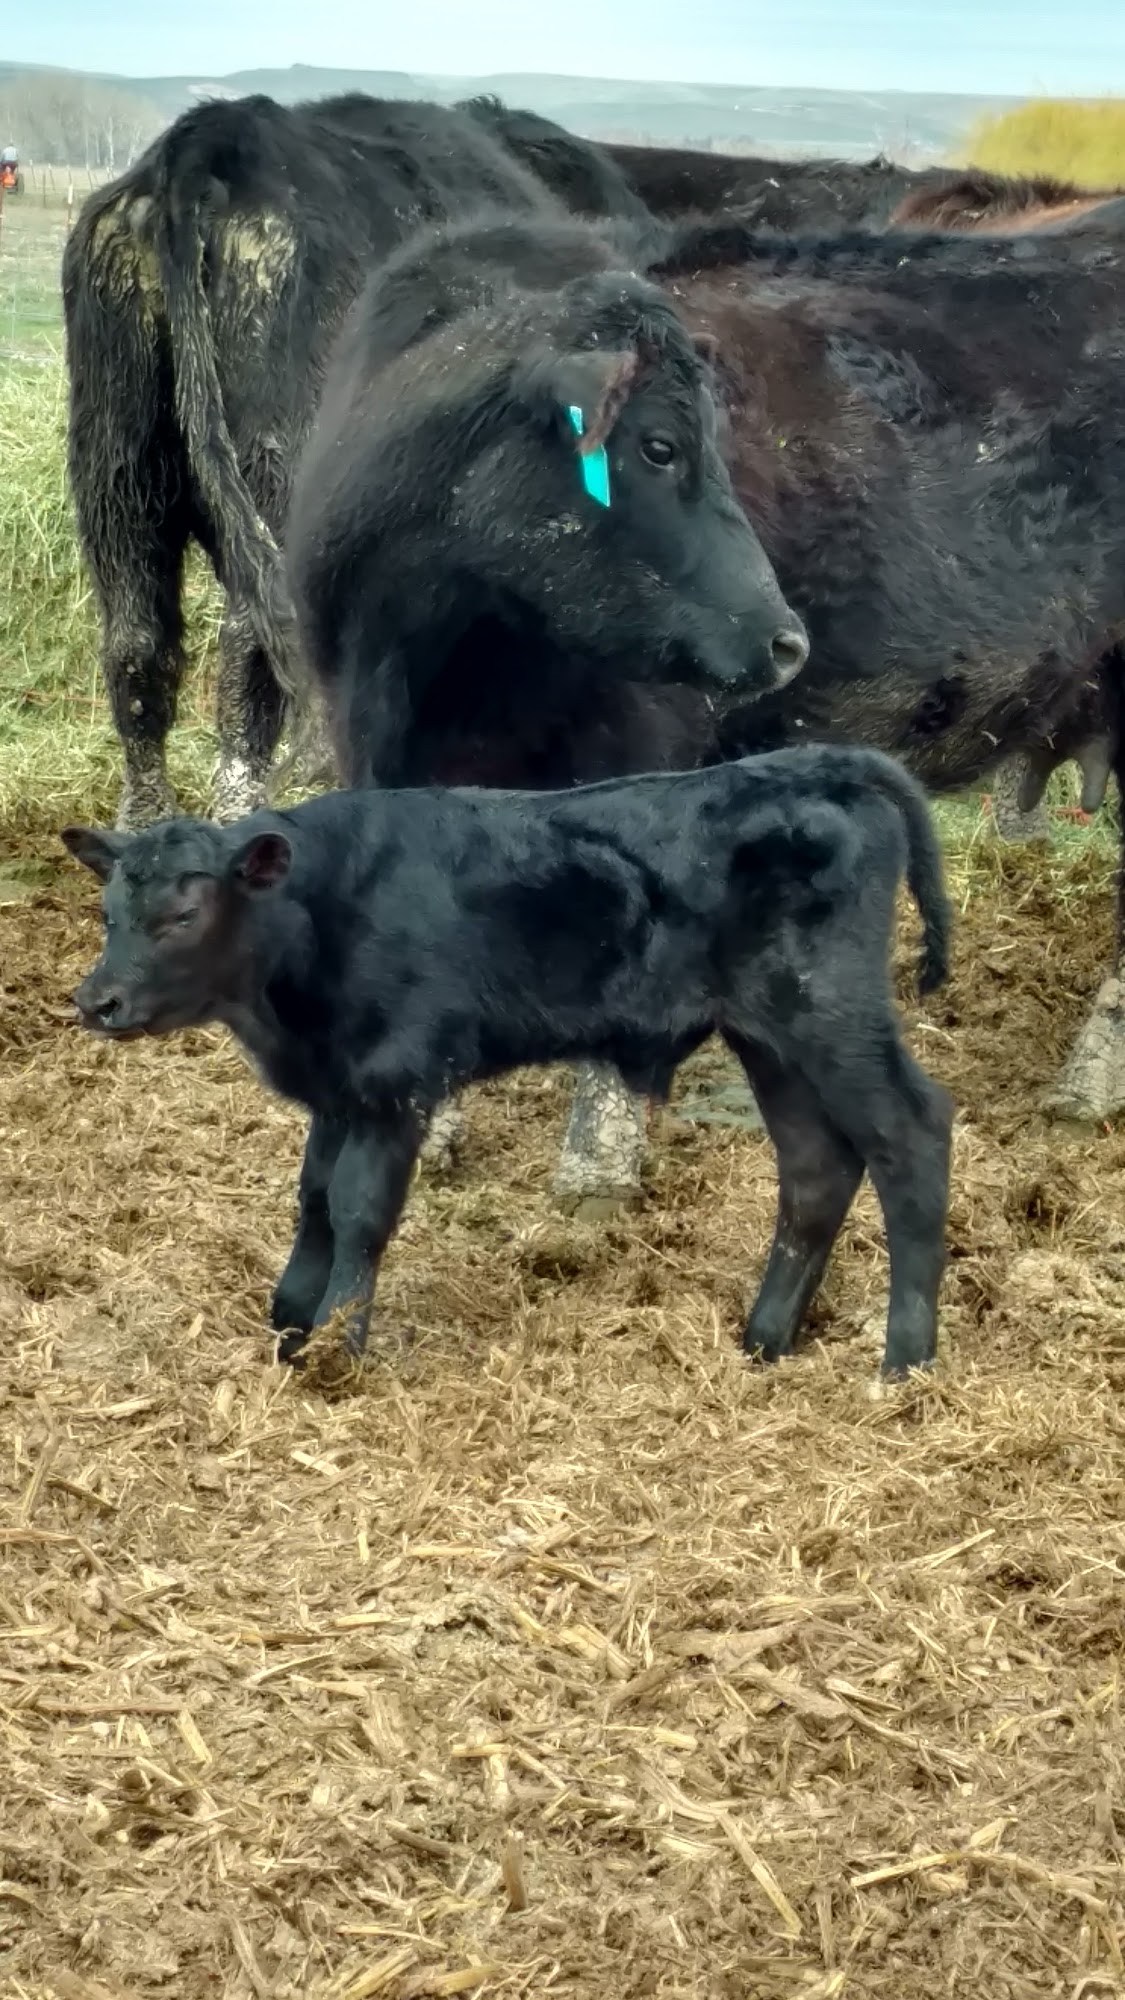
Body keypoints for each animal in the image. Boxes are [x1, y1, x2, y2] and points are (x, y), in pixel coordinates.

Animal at [62, 746, 955, 1381]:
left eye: (183, 914)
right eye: (109, 910)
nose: (97, 1001)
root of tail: (820, 763)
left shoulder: (397, 1083)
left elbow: (357, 1209)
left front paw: (337, 1349)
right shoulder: (338, 1087)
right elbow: (312, 1197)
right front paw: (290, 1325)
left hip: (829, 1012)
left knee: (910, 1134)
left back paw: (904, 1361)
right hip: (768, 1037)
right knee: (815, 1166)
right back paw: (765, 1340)